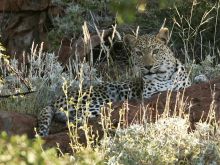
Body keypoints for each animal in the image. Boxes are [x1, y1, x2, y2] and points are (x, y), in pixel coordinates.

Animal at [36, 27, 191, 136]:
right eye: (139, 53)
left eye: (155, 51)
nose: (148, 67)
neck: (164, 76)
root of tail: (54, 100)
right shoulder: (149, 96)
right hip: (98, 99)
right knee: (84, 117)